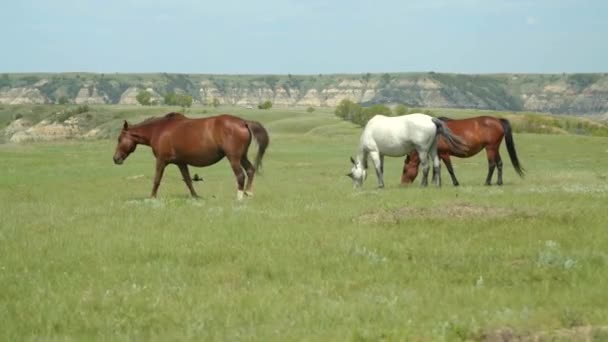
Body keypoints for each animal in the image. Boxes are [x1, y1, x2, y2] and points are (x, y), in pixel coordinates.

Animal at [112, 112, 268, 199]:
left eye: (119, 139)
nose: (115, 158)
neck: (159, 130)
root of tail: (244, 122)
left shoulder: (161, 160)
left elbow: (157, 179)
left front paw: (152, 197)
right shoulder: (181, 163)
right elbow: (188, 180)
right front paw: (195, 196)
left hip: (233, 158)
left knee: (240, 175)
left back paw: (239, 197)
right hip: (242, 156)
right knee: (250, 170)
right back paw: (248, 193)